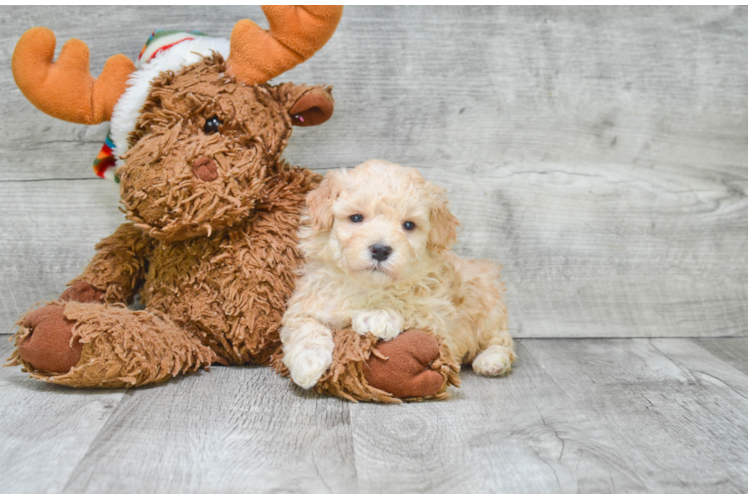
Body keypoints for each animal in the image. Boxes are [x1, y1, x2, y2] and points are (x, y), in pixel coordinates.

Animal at [280, 160, 516, 390]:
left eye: (409, 225)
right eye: (356, 218)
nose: (380, 250)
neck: (369, 286)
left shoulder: (440, 319)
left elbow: (410, 304)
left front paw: (378, 315)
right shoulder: (308, 299)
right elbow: (304, 324)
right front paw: (308, 361)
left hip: (488, 308)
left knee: (502, 341)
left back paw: (491, 361)